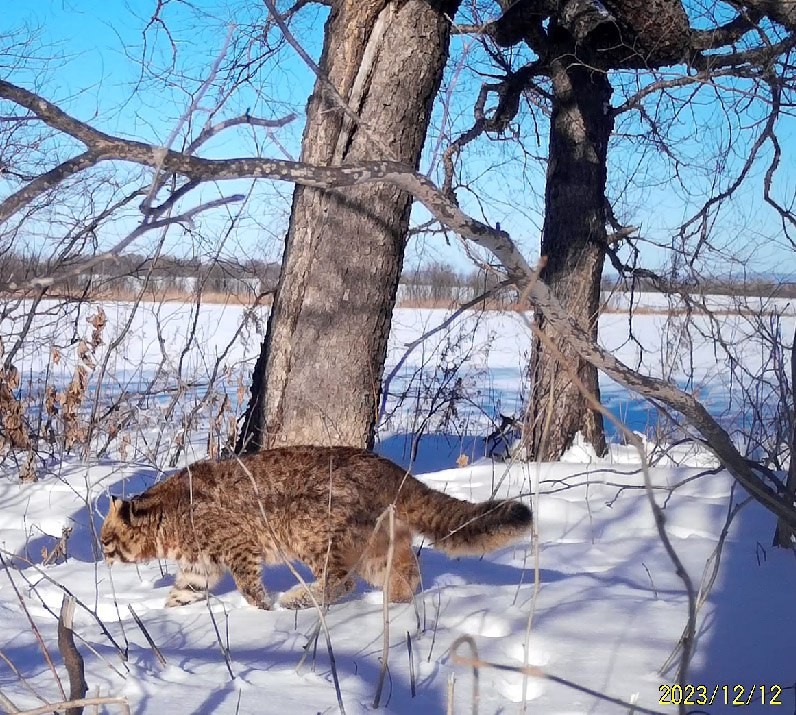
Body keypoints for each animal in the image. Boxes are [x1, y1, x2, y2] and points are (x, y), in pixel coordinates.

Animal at [101, 448, 536, 608]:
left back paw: (299, 598)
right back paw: (395, 607)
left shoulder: (239, 548)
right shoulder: (199, 567)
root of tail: (392, 468)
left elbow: (248, 585)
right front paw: (166, 618)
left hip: (309, 531)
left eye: (107, 540)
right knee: (405, 574)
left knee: (342, 582)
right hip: (377, 545)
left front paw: (263, 609)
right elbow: (182, 593)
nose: (102, 559)